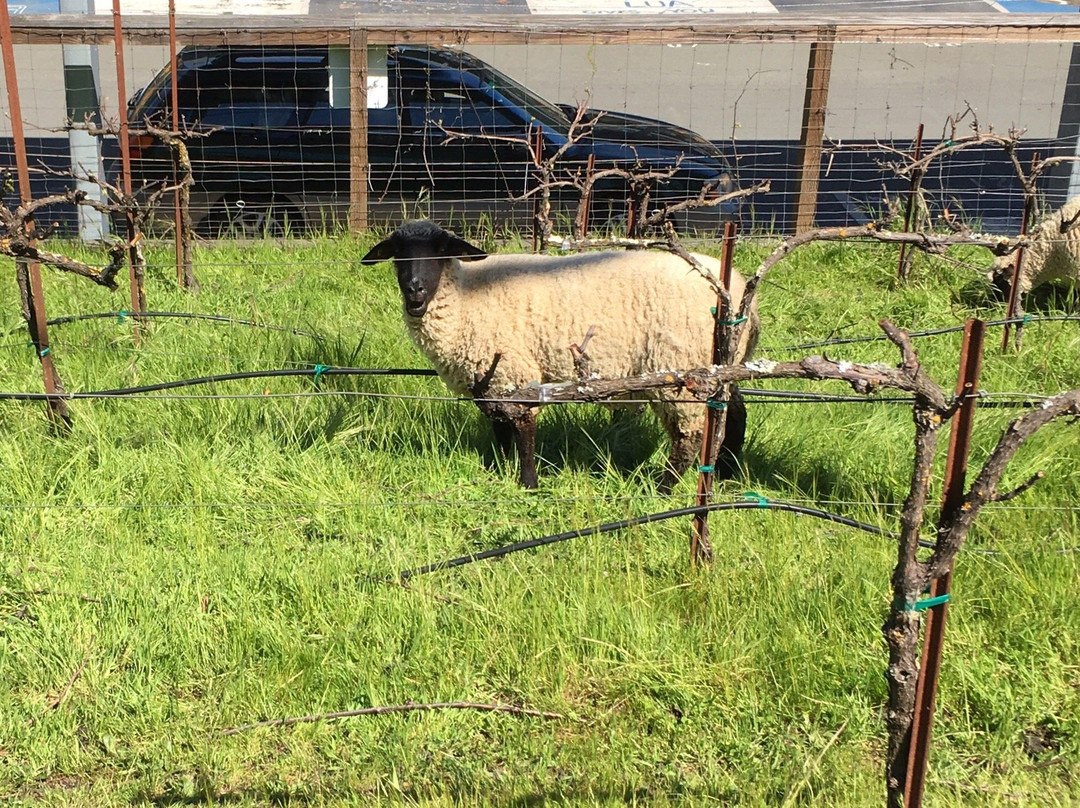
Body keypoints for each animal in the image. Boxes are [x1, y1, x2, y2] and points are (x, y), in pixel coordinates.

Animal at [362, 218, 760, 488]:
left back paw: (663, 488)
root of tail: (738, 294)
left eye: (442, 250)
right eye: (397, 254)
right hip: (723, 363)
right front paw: (497, 469)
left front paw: (527, 483)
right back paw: (727, 473)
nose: (414, 289)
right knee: (735, 412)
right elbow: (499, 427)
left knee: (689, 435)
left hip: (680, 370)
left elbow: (522, 429)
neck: (466, 297)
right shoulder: (489, 378)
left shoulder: (515, 369)